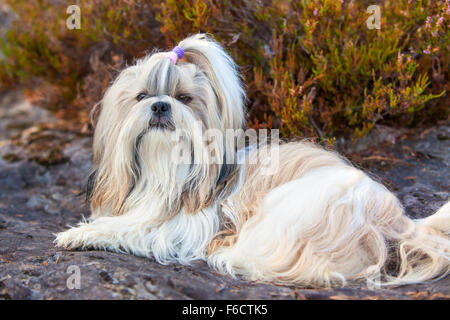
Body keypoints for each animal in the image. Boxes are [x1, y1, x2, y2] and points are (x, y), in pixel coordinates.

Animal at [56, 33, 450, 286]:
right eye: (142, 96)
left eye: (184, 98)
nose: (160, 106)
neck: (164, 171)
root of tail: (394, 218)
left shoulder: (184, 227)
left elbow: (131, 227)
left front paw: (80, 233)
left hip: (295, 203)